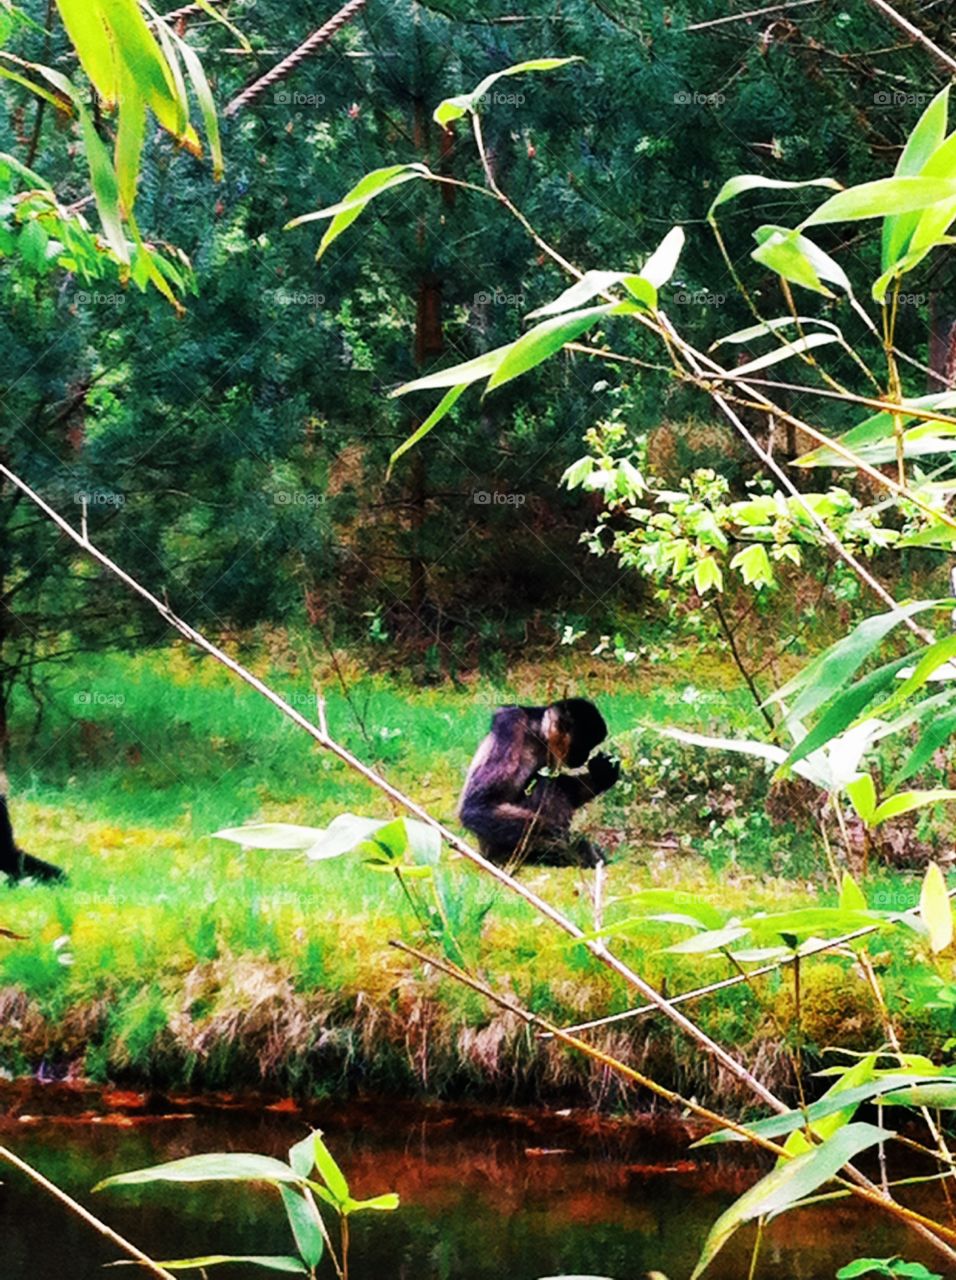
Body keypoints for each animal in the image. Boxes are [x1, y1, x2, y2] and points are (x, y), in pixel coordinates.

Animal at [458, 698, 619, 867]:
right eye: (583, 747)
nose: (585, 756)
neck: (539, 733)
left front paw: (603, 773)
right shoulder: (512, 723)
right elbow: (476, 807)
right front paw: (573, 844)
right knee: (544, 782)